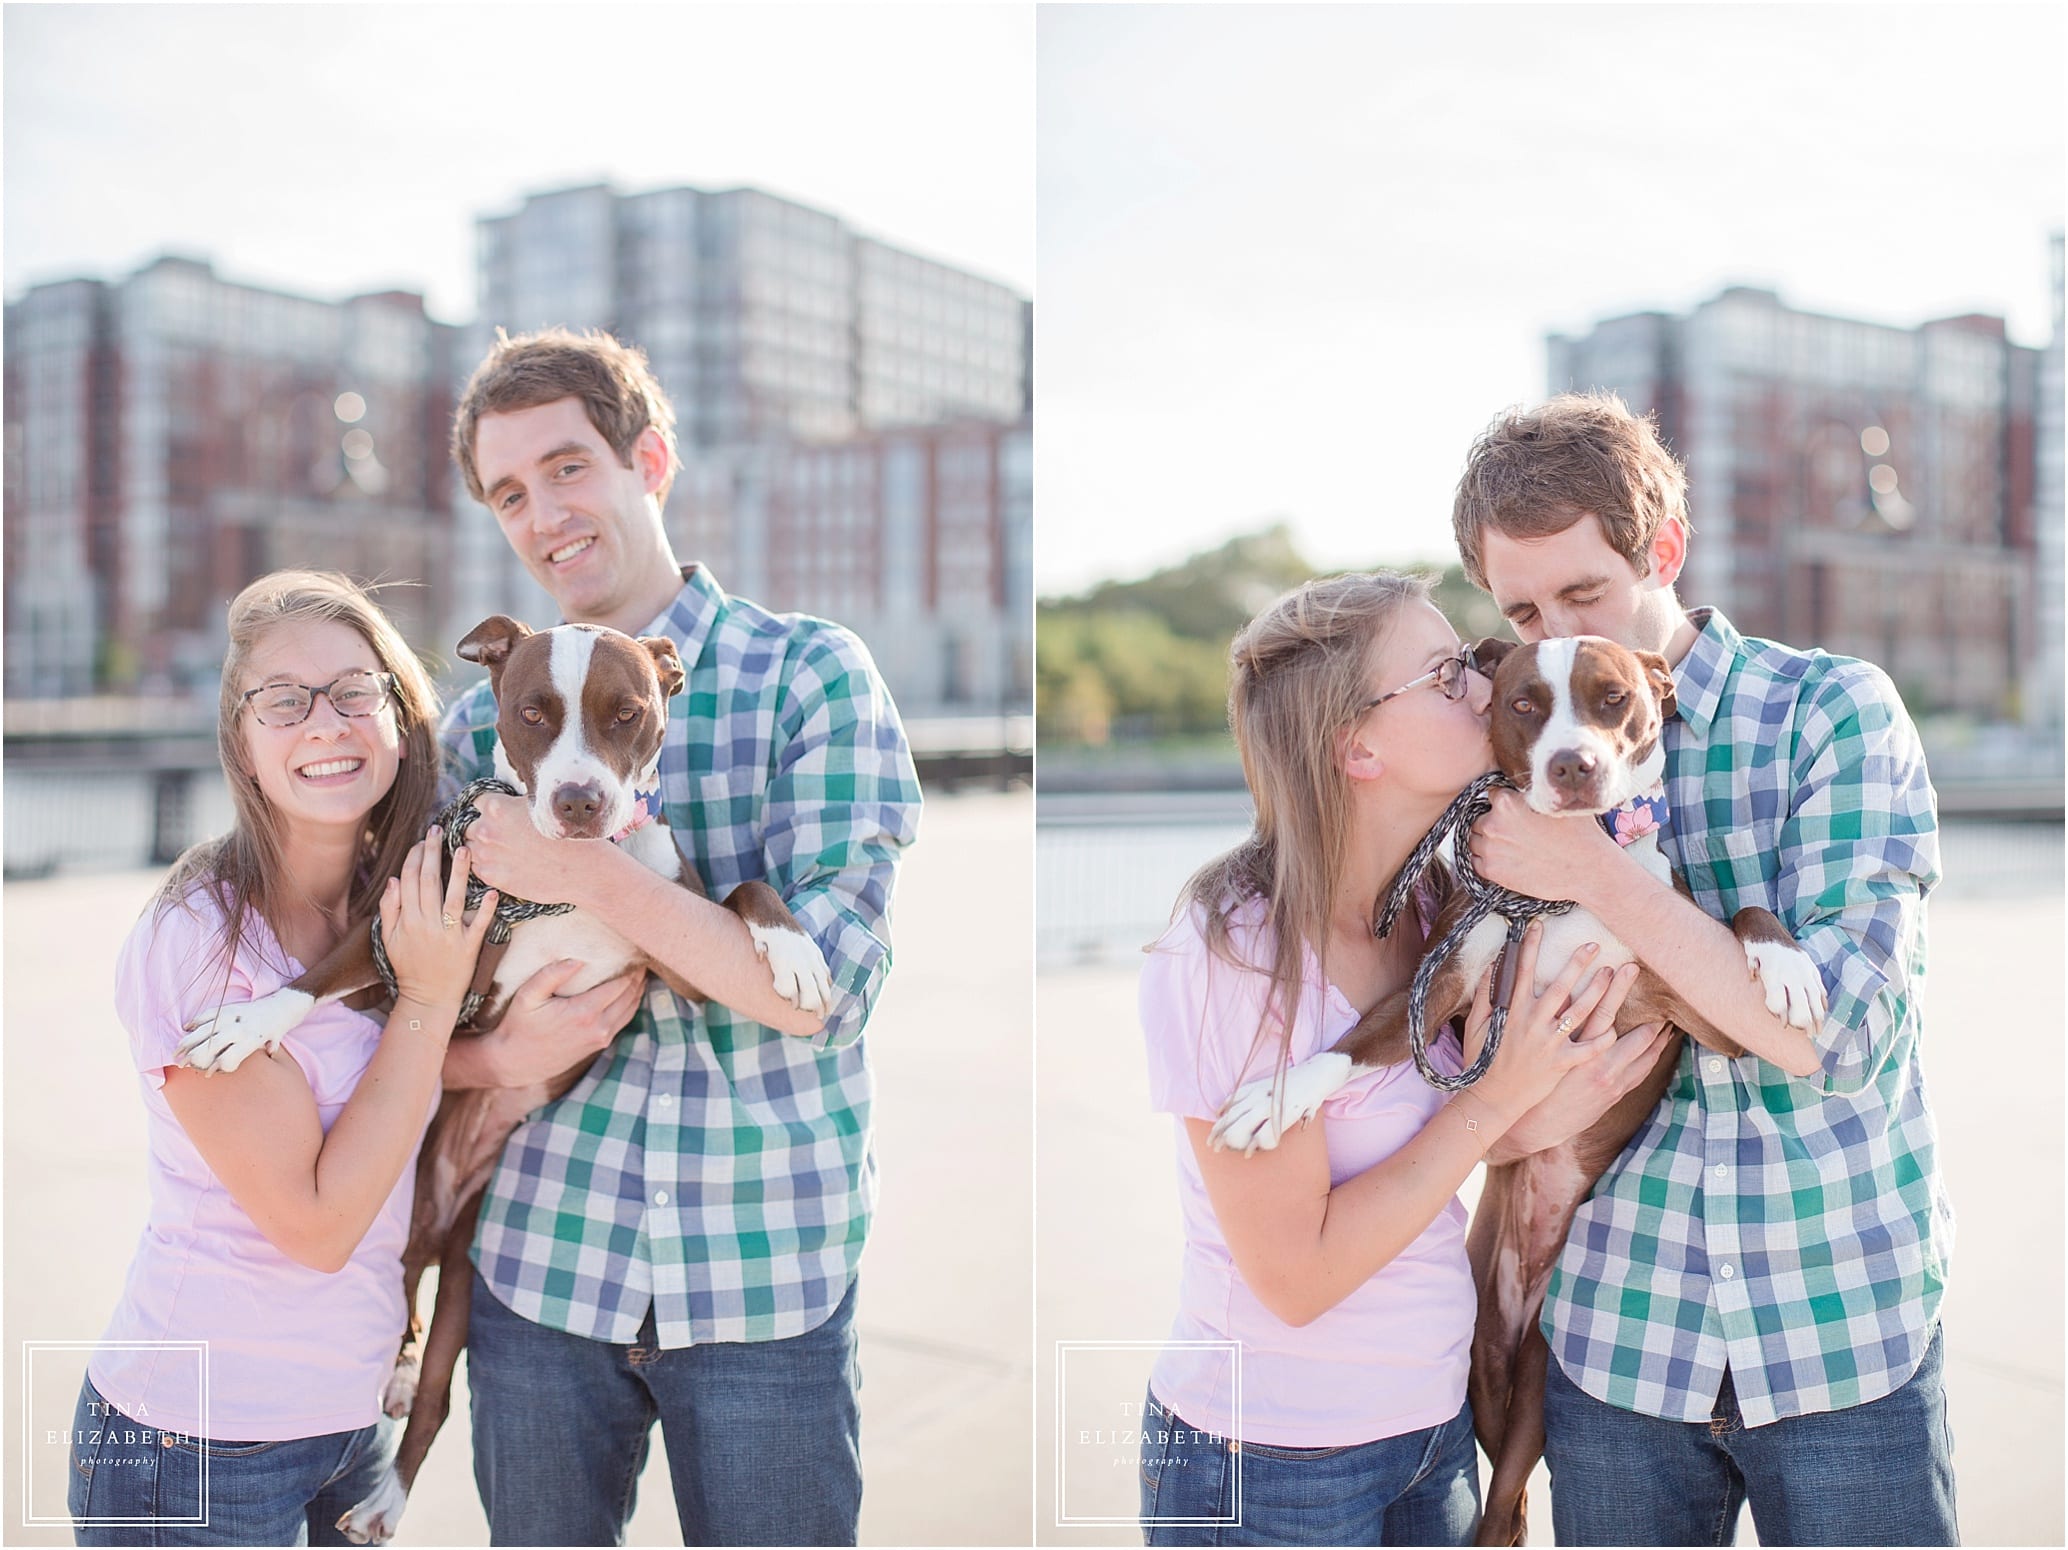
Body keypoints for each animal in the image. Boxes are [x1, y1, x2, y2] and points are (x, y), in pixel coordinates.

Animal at [171, 620, 831, 1550]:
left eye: (628, 713)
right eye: (532, 713)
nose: (581, 801)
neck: (565, 887)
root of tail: (452, 1196)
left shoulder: (682, 961)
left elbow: (744, 886)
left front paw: (795, 948)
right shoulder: (392, 947)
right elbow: (308, 982)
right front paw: (245, 1022)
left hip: (462, 1269)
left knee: (435, 1380)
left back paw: (390, 1482)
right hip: (414, 1212)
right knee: (404, 1299)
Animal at [1207, 636, 1828, 1545]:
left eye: (1613, 698)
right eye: (1525, 704)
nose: (1574, 765)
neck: (1564, 889)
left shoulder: (1699, 1015)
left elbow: (1742, 915)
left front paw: (1785, 965)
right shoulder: (1442, 988)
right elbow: (1348, 1048)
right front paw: (1276, 1100)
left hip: (1539, 1387)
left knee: (1506, 1500)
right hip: (1484, 1377)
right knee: (1502, 1503)